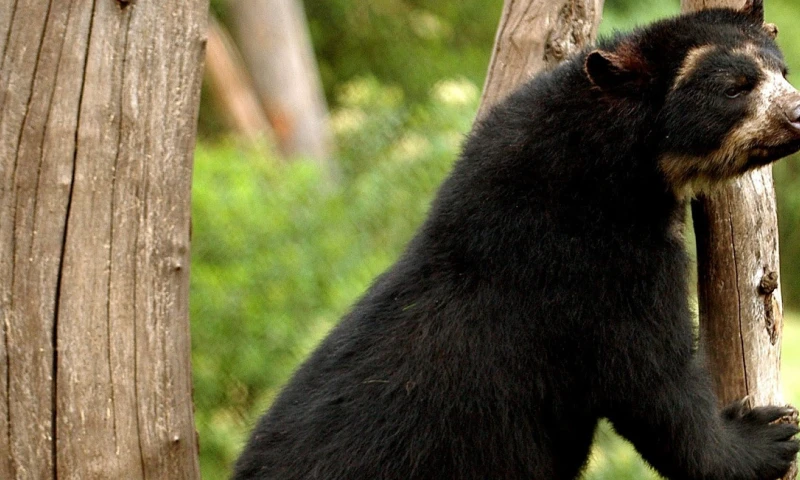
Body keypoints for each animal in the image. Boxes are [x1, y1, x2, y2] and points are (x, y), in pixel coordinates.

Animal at [233, 1, 800, 479]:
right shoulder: (591, 265)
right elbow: (649, 378)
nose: (798, 113)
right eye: (734, 87)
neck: (614, 165)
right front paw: (768, 434)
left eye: (783, 72)